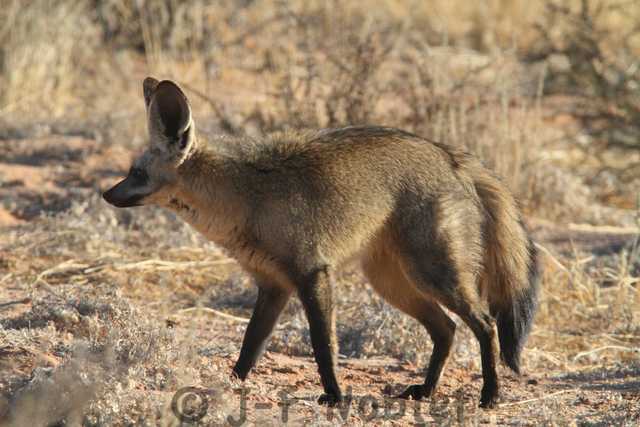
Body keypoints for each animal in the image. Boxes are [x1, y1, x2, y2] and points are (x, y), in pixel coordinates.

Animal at [103, 77, 540, 408]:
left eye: (136, 173)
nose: (107, 194)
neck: (245, 196)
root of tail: (450, 155)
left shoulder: (312, 273)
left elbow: (323, 345)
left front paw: (334, 395)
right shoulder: (272, 285)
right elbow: (250, 344)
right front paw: (232, 382)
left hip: (432, 276)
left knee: (485, 324)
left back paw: (490, 395)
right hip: (393, 283)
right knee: (446, 329)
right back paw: (426, 391)